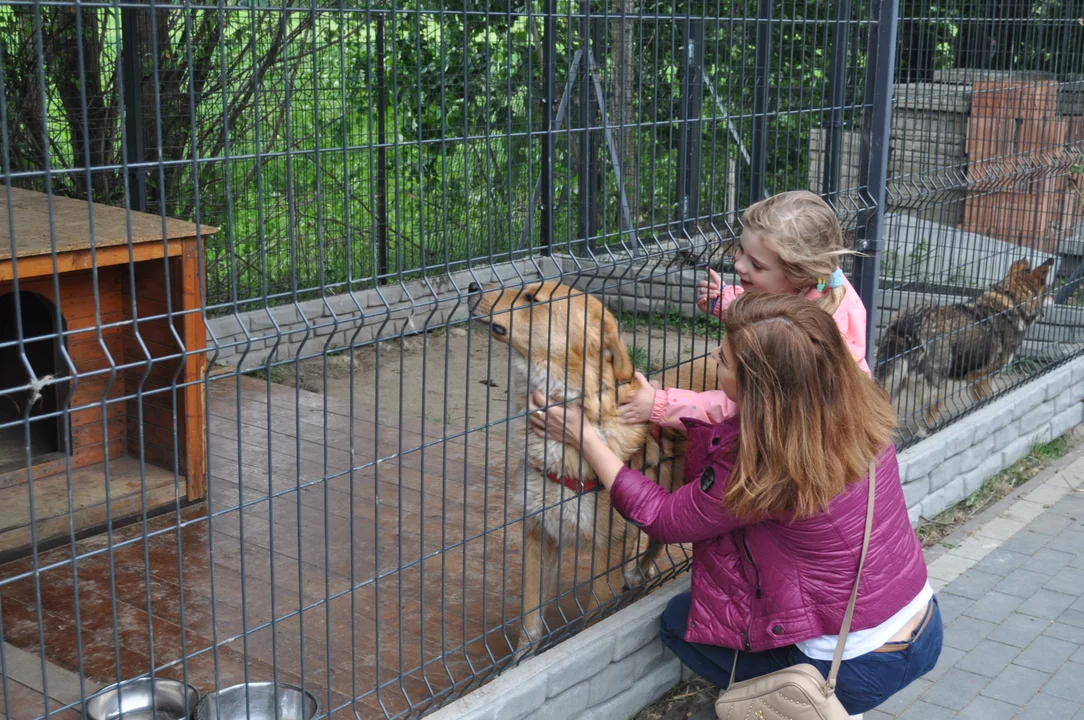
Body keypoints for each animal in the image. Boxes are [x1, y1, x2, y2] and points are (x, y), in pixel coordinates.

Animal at [468, 279, 685, 650]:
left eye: (532, 298)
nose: (471, 286)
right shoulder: (538, 531)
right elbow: (530, 620)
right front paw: (522, 658)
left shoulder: (608, 544)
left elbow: (595, 616)